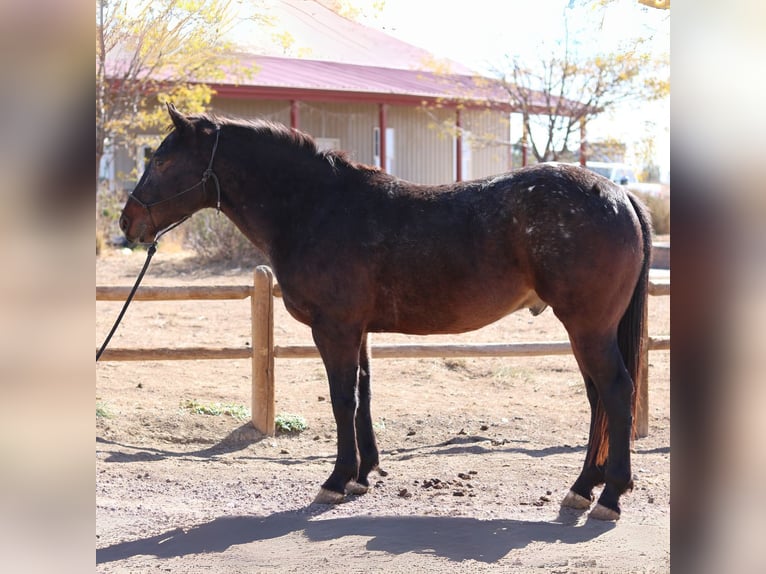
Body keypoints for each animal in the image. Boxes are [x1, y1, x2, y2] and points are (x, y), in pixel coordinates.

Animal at [121, 106, 656, 524]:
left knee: (615, 392)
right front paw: (362, 475)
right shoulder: (357, 331)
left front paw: (336, 479)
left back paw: (609, 496)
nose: (127, 222)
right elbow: (363, 396)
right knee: (598, 399)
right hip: (588, 331)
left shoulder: (334, 329)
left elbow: (343, 400)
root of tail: (620, 193)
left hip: (588, 328)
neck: (317, 208)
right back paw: (584, 488)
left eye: (162, 158)